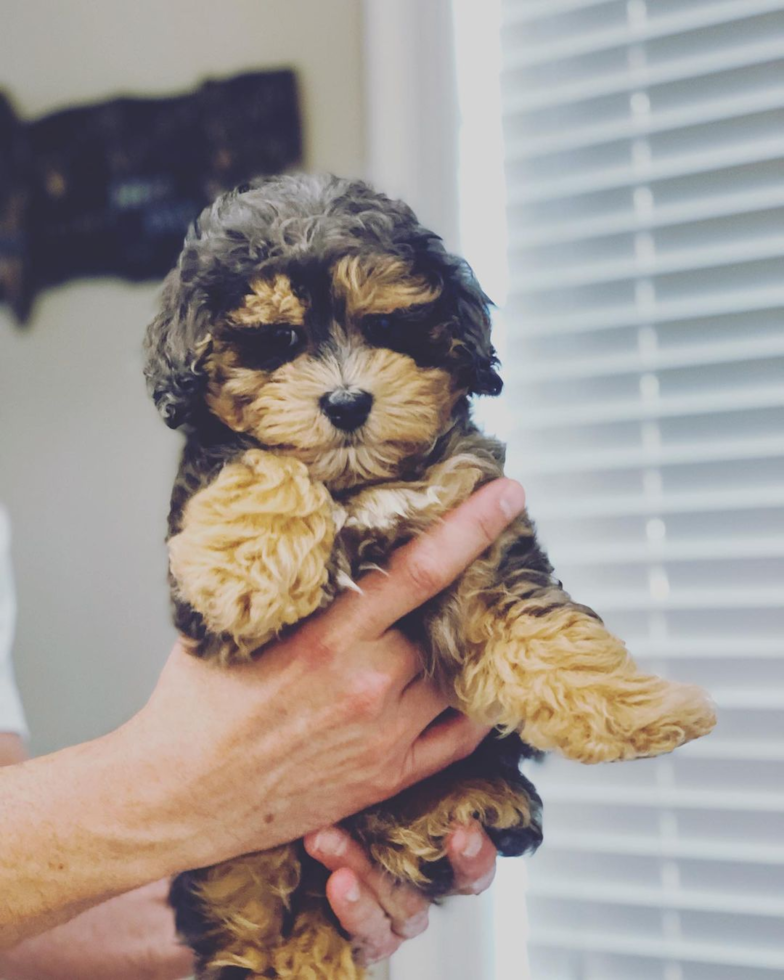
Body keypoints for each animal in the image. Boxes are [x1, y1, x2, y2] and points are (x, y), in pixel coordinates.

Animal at [142, 172, 716, 976]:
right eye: (279, 341)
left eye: (387, 328)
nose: (347, 401)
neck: (359, 484)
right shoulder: (203, 578)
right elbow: (261, 462)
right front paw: (247, 566)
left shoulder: (477, 534)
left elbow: (539, 629)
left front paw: (639, 709)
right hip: (237, 858)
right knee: (250, 916)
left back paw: (447, 811)